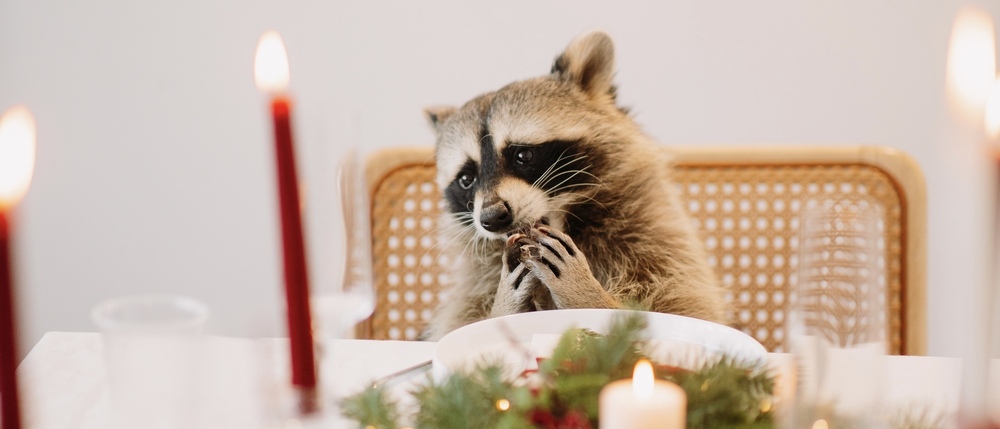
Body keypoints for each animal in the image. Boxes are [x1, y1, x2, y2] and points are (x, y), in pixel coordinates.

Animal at [423, 31, 726, 340]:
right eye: (466, 179)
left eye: (523, 155)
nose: (492, 217)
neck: (568, 223)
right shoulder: (479, 279)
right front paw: (502, 305)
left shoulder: (653, 238)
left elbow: (686, 308)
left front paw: (588, 294)